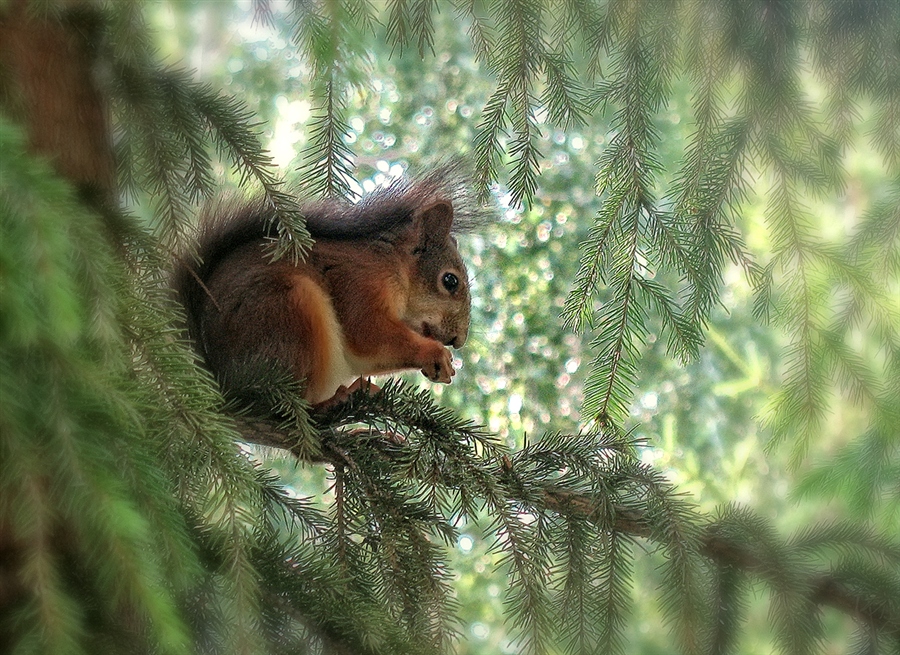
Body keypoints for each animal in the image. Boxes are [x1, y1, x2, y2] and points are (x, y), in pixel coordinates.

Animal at [171, 167, 478, 408]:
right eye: (450, 281)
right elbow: (368, 333)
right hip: (289, 313)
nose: (459, 340)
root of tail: (222, 380)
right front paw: (434, 354)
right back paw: (334, 401)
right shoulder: (360, 279)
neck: (395, 265)